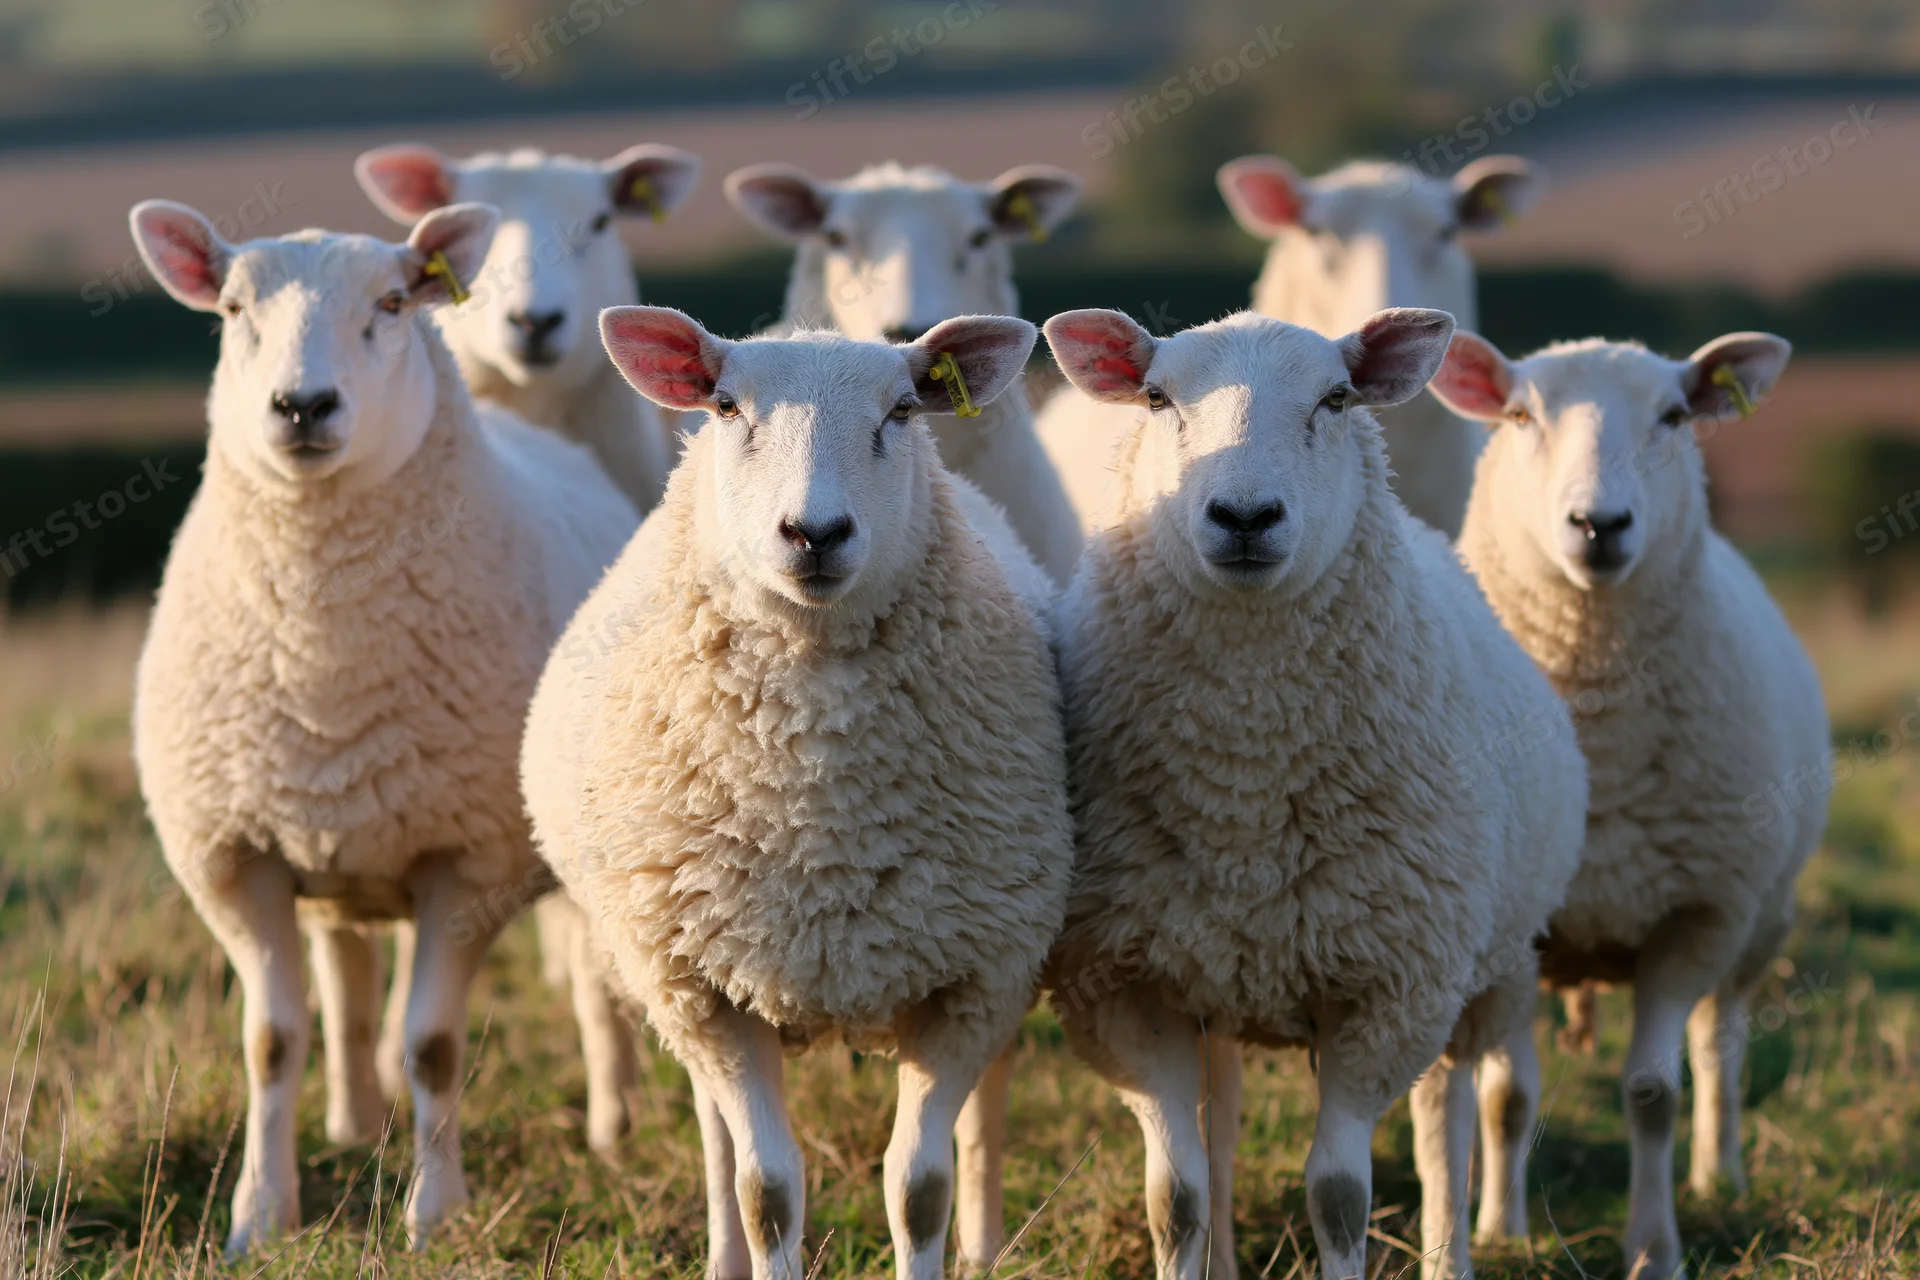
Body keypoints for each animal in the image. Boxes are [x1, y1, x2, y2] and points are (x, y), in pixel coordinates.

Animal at [127, 198, 638, 1253]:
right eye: (232, 307)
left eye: (395, 303)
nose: (302, 407)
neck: (322, 654)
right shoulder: (238, 858)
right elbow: (273, 1041)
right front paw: (260, 1215)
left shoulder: (468, 863)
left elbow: (433, 1044)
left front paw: (435, 1215)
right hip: (335, 836)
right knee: (350, 986)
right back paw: (354, 1120)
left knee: (588, 984)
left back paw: (612, 1127)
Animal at [522, 305, 1072, 1280]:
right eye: (726, 406)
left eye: (902, 410)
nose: (814, 533)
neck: (816, 811)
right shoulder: (702, 985)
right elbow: (766, 1190)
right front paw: (753, 1238)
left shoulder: (972, 980)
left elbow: (919, 1187)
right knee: (716, 1137)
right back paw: (719, 1255)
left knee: (989, 1107)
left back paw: (982, 1244)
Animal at [1040, 306, 1588, 1280]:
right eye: (1157, 398)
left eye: (1336, 399)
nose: (1245, 515)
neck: (1245, 780)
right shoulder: (1127, 987)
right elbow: (1175, 1196)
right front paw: (1193, 1251)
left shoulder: (1387, 990)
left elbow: (1339, 1196)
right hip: (1219, 980)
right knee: (1222, 1129)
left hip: (1478, 970)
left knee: (1447, 1120)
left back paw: (1452, 1251)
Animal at [1427, 328, 1827, 1280]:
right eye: (1520, 415)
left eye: (1676, 416)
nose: (1598, 526)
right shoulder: (1522, 930)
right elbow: (1506, 1095)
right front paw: (1500, 1231)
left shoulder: (1697, 916)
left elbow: (1653, 1093)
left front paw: (1654, 1249)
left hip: (1761, 925)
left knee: (1720, 1048)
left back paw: (1722, 1178)